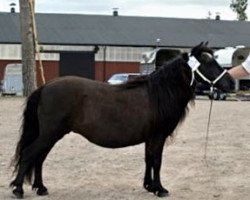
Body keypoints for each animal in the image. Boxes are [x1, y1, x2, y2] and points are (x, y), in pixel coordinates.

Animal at [8, 42, 233, 198]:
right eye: (208, 62)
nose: (231, 83)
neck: (160, 93)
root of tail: (45, 86)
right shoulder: (158, 136)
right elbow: (157, 161)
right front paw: (160, 189)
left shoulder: (150, 138)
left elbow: (149, 159)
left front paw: (149, 186)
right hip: (49, 133)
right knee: (29, 154)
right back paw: (18, 189)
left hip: (51, 135)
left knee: (39, 158)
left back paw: (41, 188)